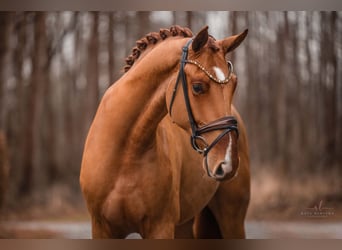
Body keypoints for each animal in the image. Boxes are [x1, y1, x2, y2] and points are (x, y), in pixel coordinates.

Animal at [80, 25, 251, 238]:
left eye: (234, 84)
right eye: (197, 87)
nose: (228, 162)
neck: (126, 152)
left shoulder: (161, 226)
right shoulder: (102, 228)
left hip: (232, 219)